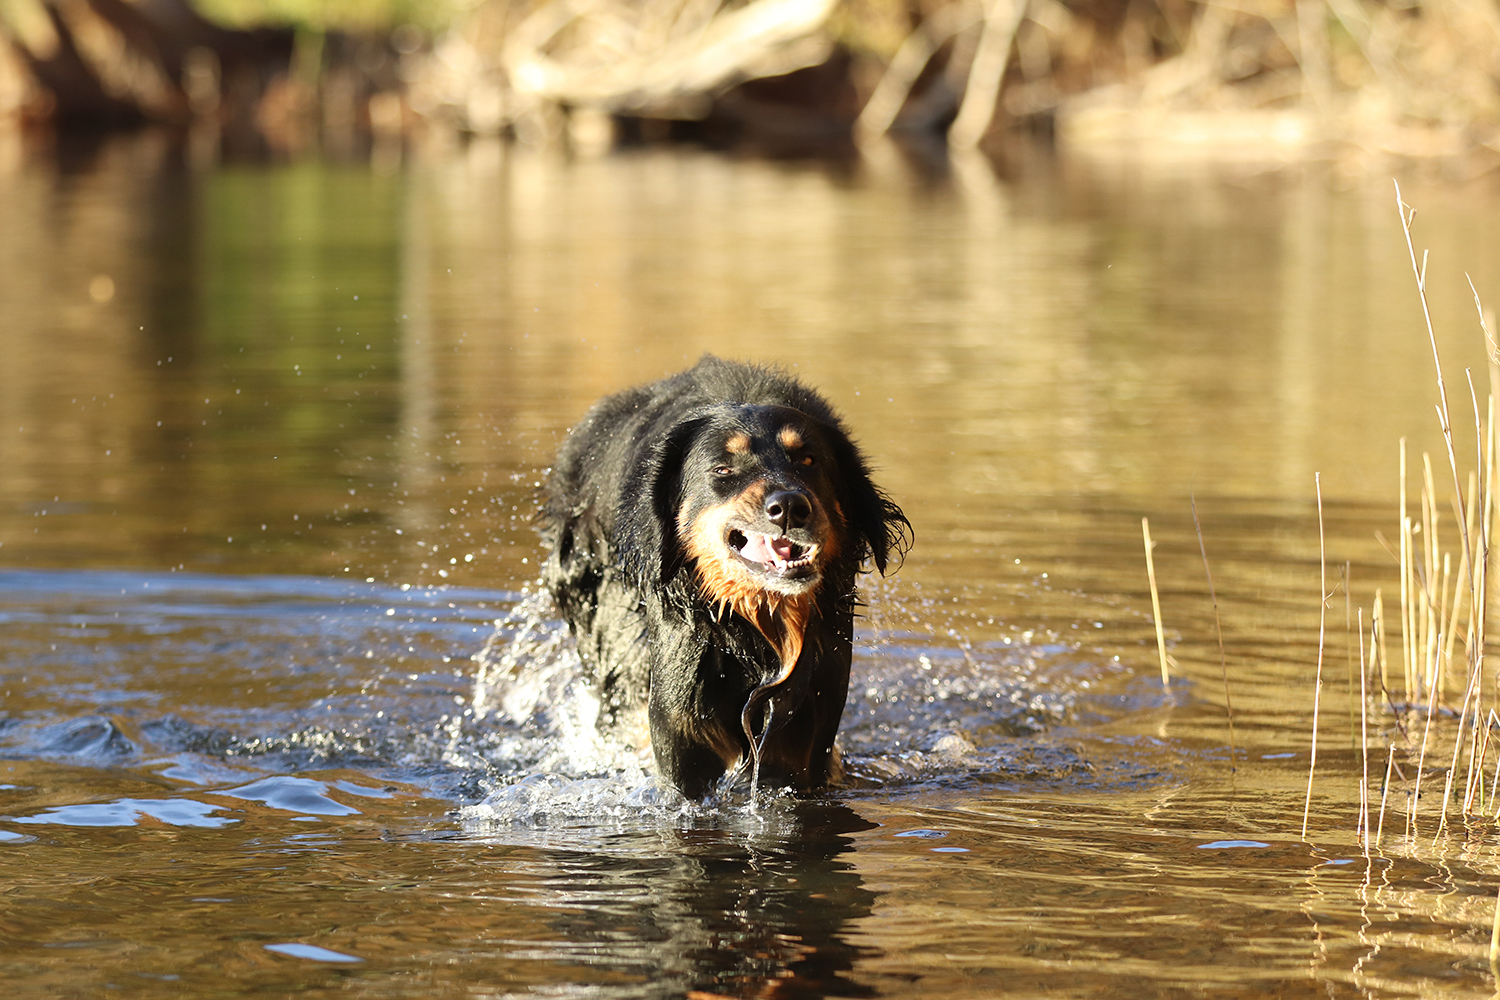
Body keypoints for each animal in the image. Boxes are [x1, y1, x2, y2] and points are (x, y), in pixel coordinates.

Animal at [540, 356, 910, 799]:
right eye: (722, 469)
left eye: (808, 461)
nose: (790, 506)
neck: (754, 627)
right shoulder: (682, 726)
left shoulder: (804, 731)